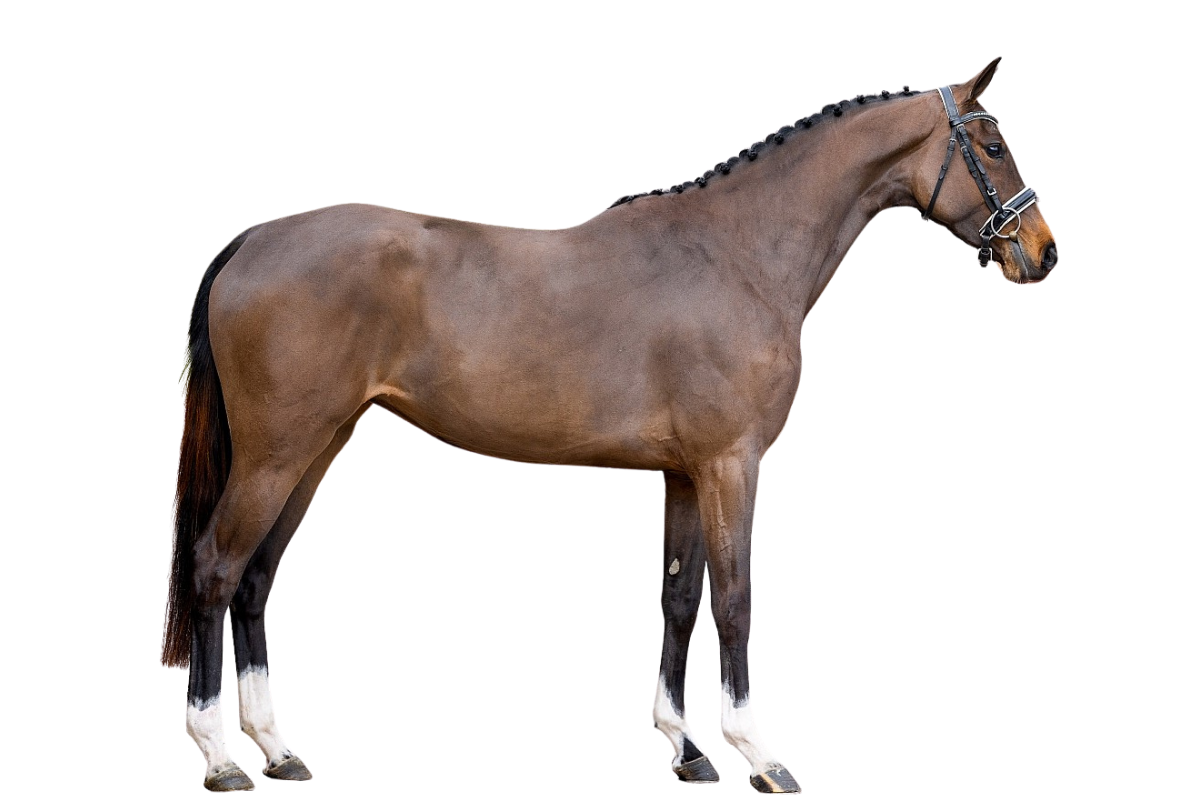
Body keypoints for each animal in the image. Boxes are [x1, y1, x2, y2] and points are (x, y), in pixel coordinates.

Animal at [162, 58, 1057, 793]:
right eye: (994, 143)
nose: (1044, 251)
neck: (737, 254)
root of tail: (255, 241)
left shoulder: (686, 472)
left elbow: (681, 597)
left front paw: (687, 750)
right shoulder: (733, 464)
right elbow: (736, 599)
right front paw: (760, 756)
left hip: (319, 447)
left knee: (258, 577)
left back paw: (277, 750)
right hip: (275, 454)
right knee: (215, 569)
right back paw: (220, 757)